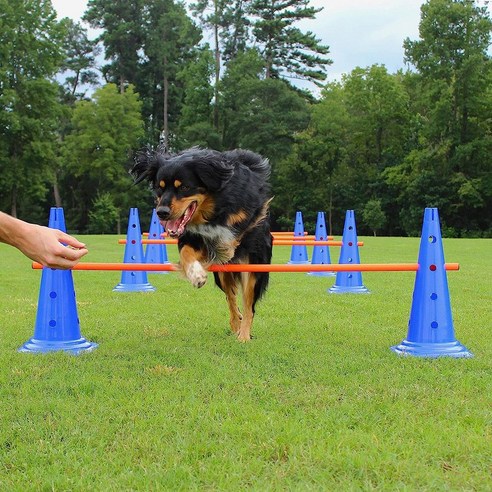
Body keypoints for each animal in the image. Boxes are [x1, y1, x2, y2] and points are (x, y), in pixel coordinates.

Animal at [131, 144, 272, 340]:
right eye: (160, 188)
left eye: (184, 187)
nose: (162, 212)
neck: (212, 209)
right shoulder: (190, 236)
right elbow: (186, 253)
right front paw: (196, 275)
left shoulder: (249, 212)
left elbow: (233, 232)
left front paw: (224, 246)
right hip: (222, 275)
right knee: (231, 299)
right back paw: (236, 324)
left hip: (254, 267)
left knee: (248, 305)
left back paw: (243, 336)